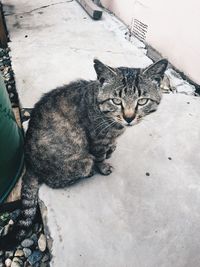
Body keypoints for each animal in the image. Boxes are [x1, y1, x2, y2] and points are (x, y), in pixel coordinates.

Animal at [0, 58, 167, 249]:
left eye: (143, 100)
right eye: (116, 101)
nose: (129, 118)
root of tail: (30, 165)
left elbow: (111, 145)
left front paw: (112, 149)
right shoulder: (97, 141)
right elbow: (100, 156)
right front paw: (104, 166)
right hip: (82, 161)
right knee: (57, 180)